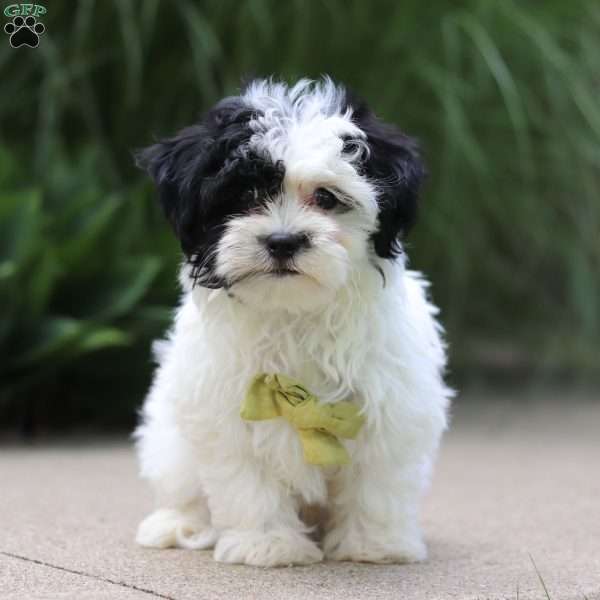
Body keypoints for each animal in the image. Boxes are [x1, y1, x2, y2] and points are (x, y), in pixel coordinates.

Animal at [134, 78, 452, 568]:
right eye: (245, 195)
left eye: (326, 198)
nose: (283, 241)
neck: (294, 312)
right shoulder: (227, 409)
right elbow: (249, 481)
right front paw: (266, 544)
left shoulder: (392, 402)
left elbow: (378, 481)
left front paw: (375, 545)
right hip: (169, 439)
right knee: (181, 485)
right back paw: (177, 524)